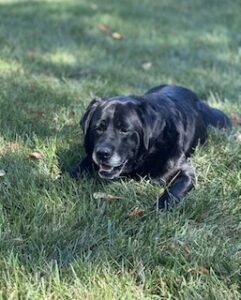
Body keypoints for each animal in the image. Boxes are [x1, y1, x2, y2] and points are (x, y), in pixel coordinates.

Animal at [69, 85, 230, 209]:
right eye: (99, 128)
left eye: (124, 130)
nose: (102, 153)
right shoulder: (89, 158)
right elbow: (76, 170)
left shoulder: (186, 172)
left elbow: (173, 192)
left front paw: (159, 208)